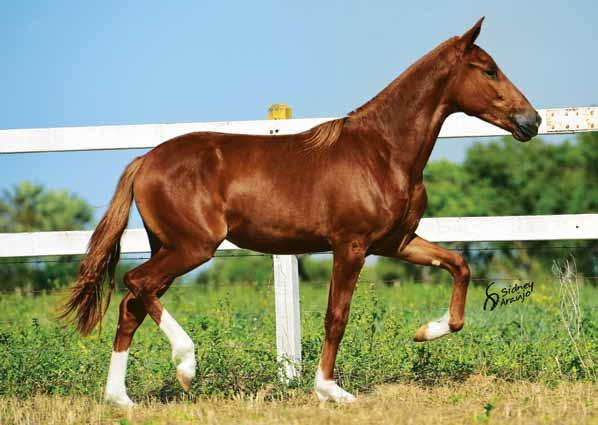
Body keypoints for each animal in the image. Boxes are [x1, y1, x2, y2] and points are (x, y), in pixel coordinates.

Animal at [62, 19, 544, 404]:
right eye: (488, 69)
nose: (533, 120)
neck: (382, 152)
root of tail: (145, 160)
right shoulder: (350, 246)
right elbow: (336, 316)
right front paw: (330, 390)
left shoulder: (397, 242)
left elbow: (459, 265)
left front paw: (427, 331)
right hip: (192, 247)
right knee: (136, 284)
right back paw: (186, 365)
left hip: (168, 247)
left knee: (131, 306)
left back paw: (120, 399)